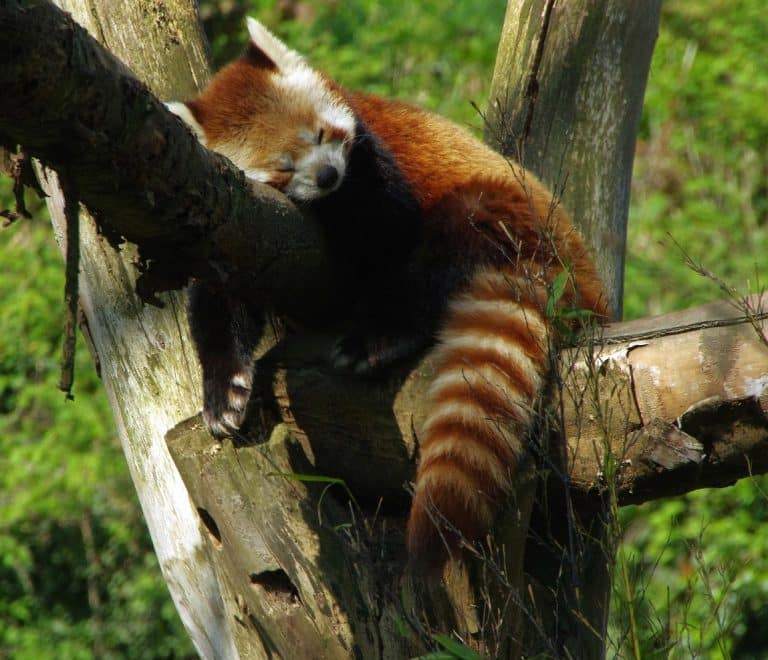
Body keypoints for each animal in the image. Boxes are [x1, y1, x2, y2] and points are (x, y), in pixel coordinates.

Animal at [166, 18, 608, 568]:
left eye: (321, 135)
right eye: (283, 166)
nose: (328, 175)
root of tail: (577, 270)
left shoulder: (375, 161)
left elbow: (388, 226)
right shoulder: (234, 230)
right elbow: (220, 305)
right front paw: (224, 391)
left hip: (501, 213)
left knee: (437, 257)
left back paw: (380, 337)